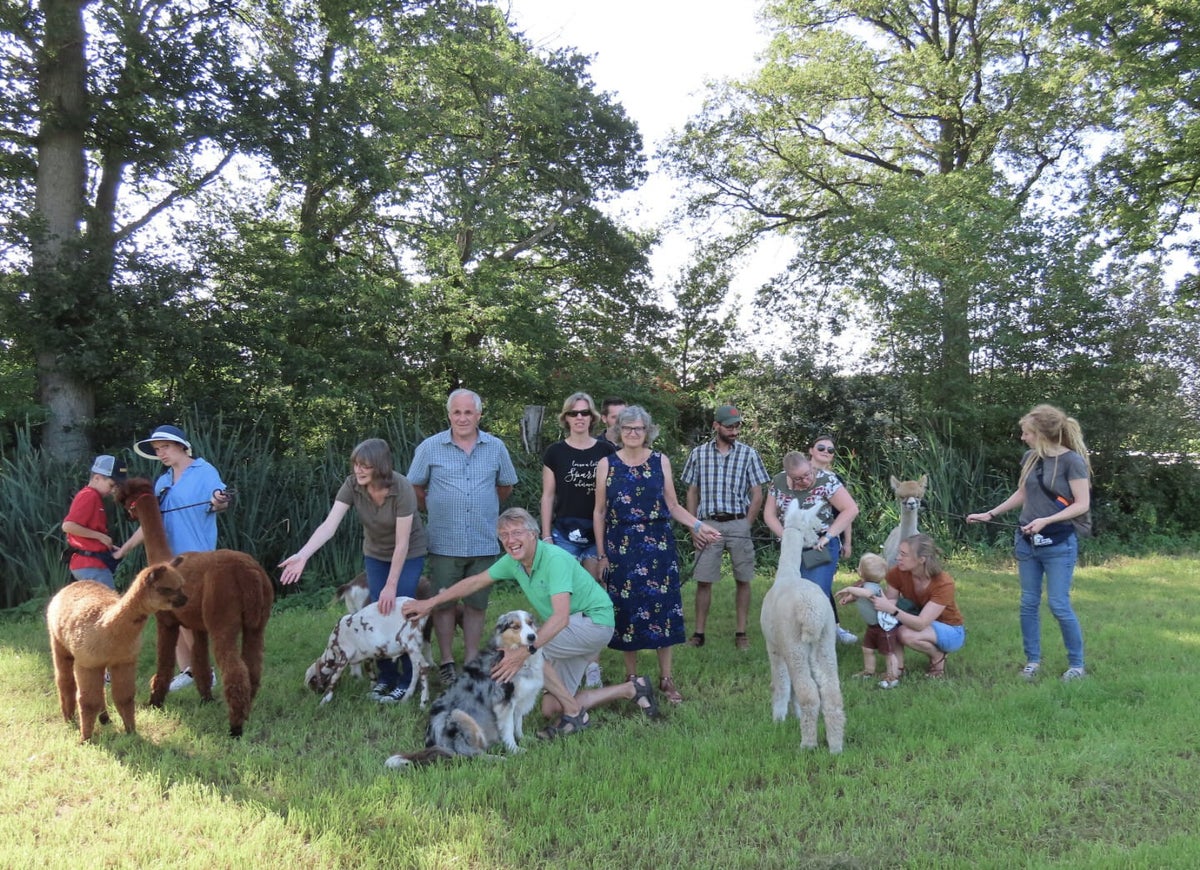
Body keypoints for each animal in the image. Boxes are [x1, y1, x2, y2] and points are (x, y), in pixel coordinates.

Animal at [385, 610, 544, 768]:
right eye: (516, 627)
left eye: (530, 623)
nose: (532, 637)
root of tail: (437, 744)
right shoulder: (504, 701)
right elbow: (509, 728)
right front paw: (515, 750)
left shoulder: (519, 699)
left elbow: (518, 723)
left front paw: (524, 739)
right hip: (458, 715)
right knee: (468, 754)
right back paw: (498, 758)